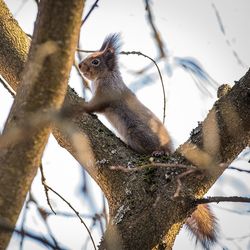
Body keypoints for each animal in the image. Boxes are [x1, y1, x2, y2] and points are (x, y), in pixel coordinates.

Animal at [77, 33, 218, 248]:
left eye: (95, 61)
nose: (79, 65)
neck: (106, 77)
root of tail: (169, 147)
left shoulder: (105, 94)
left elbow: (95, 106)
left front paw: (80, 106)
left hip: (139, 133)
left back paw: (159, 152)